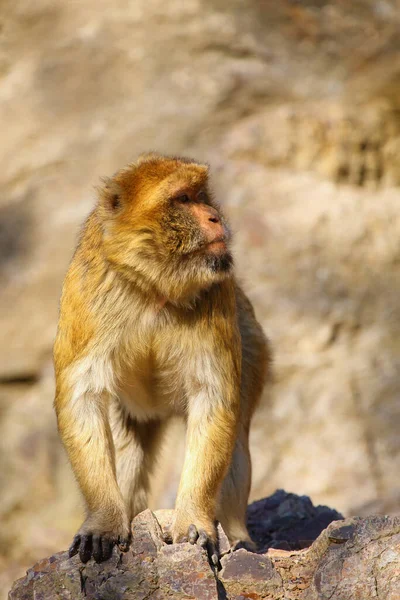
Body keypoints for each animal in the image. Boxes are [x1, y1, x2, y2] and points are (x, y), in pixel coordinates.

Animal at [53, 152, 270, 564]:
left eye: (201, 195)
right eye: (183, 199)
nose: (214, 216)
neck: (154, 284)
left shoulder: (218, 294)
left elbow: (213, 399)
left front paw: (195, 522)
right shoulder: (87, 289)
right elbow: (83, 398)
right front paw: (104, 521)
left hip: (252, 345)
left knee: (235, 435)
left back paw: (239, 536)